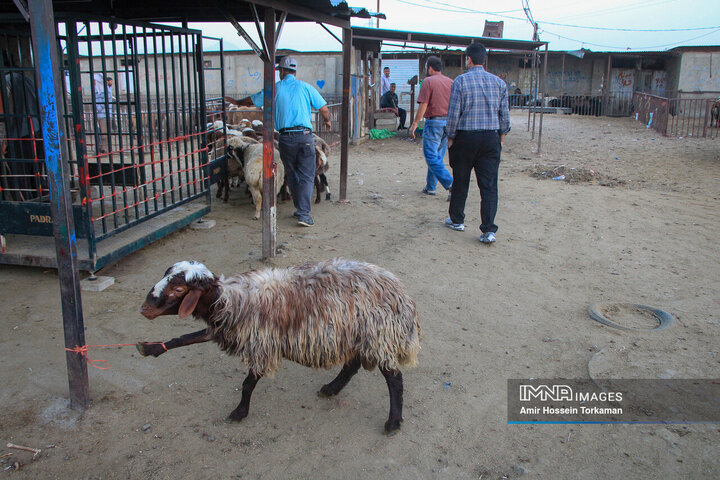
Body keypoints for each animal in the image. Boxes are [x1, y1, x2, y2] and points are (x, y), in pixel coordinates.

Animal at [137, 258, 420, 436]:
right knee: (352, 365)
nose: (144, 309)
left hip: (379, 335)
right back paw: (331, 388)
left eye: (178, 289)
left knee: (394, 379)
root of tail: (402, 295)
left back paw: (393, 422)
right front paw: (151, 348)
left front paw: (239, 412)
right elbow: (185, 337)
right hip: (357, 335)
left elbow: (248, 384)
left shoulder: (261, 343)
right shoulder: (227, 328)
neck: (229, 301)